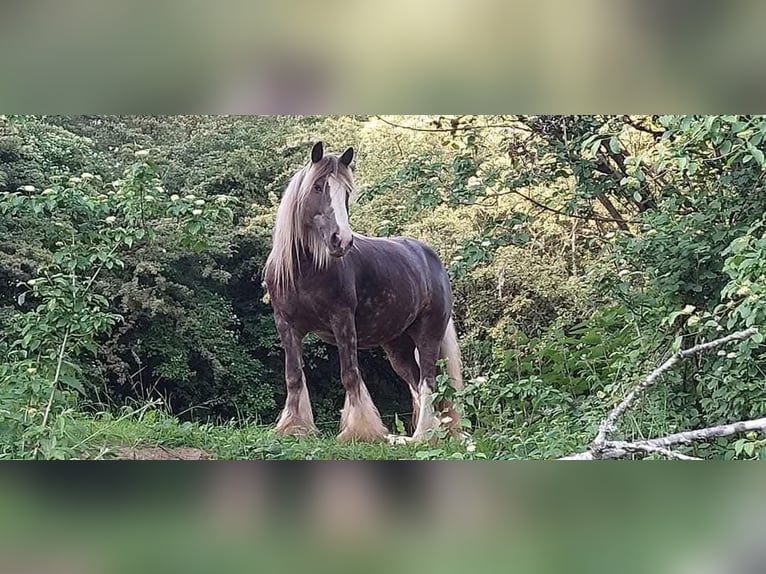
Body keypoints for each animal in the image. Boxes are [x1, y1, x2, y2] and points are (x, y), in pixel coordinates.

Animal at [264, 141, 462, 446]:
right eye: (317, 187)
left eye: (346, 192)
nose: (342, 240)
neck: (306, 270)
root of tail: (432, 259)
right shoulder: (286, 324)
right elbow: (293, 376)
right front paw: (295, 428)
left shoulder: (342, 320)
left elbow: (350, 375)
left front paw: (361, 430)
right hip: (397, 347)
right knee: (416, 381)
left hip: (429, 334)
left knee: (428, 381)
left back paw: (423, 437)